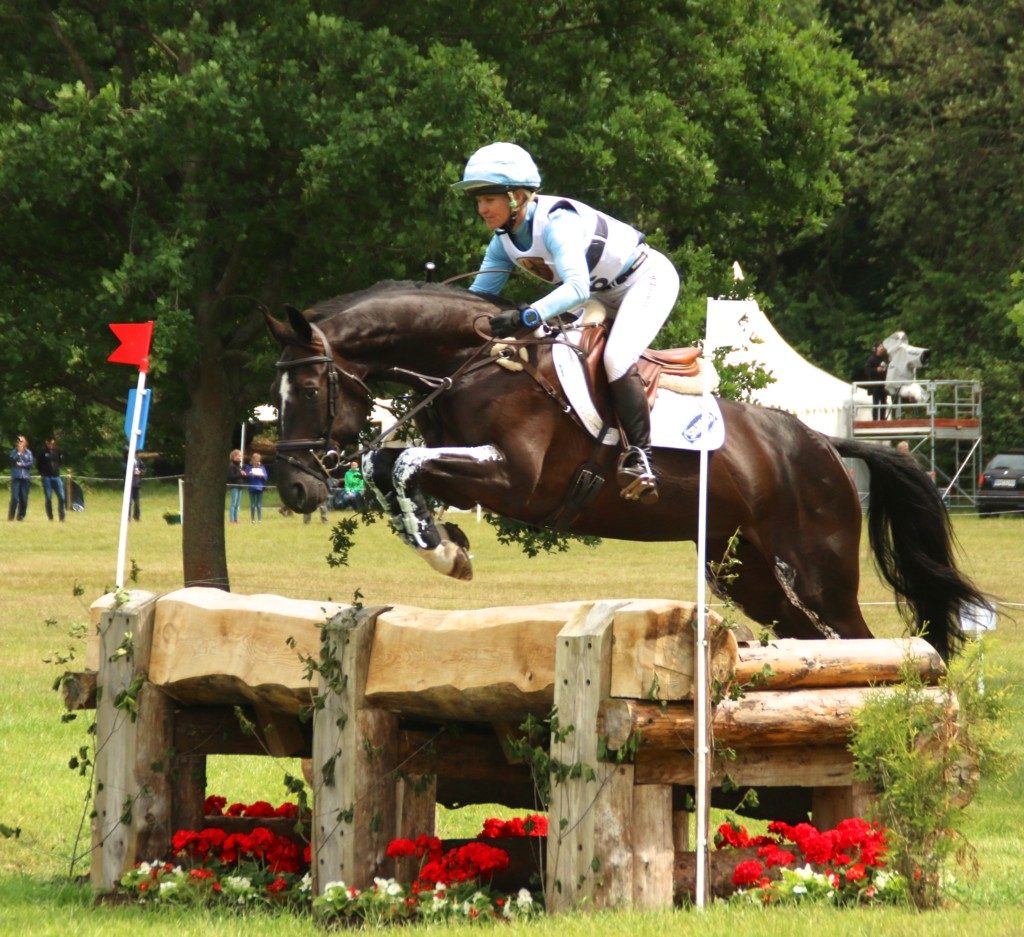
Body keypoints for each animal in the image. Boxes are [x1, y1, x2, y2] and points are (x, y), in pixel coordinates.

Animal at [268, 278, 987, 659]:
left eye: (306, 388)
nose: (295, 488)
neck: (472, 364)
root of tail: (822, 443)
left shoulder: (516, 482)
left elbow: (398, 460)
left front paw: (446, 550)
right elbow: (390, 465)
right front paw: (446, 543)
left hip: (818, 568)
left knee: (862, 640)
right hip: (749, 573)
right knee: (812, 638)